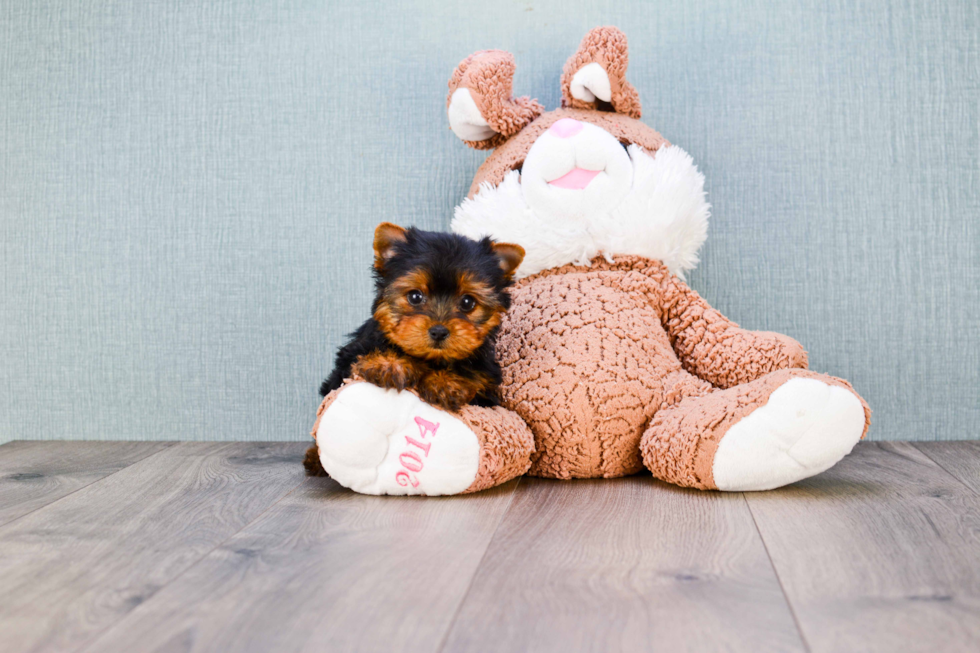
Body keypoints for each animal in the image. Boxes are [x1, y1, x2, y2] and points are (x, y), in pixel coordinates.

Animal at [304, 223, 520, 474]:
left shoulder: (486, 385)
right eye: (415, 296)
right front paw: (388, 364)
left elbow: (470, 372)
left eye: (468, 302)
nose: (439, 331)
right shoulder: (353, 354)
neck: (428, 358)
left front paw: (446, 381)